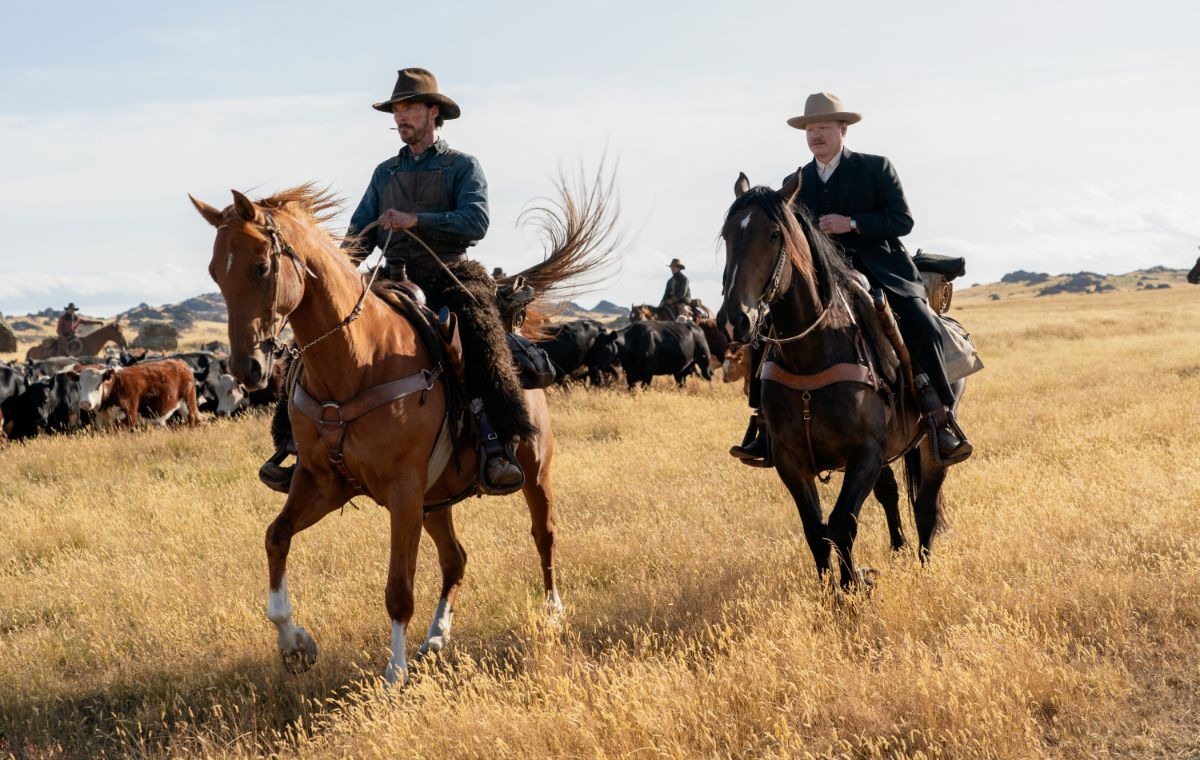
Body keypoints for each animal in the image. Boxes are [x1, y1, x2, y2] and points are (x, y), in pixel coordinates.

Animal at [192, 178, 619, 681]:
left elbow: (398, 587)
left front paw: (393, 673)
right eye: (216, 273)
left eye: (260, 267)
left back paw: (552, 611)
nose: (248, 368)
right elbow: (276, 538)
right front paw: (295, 643)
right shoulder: (323, 482)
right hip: (435, 501)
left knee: (544, 534)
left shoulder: (402, 489)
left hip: (532, 471)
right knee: (455, 559)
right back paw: (435, 638)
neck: (358, 360)